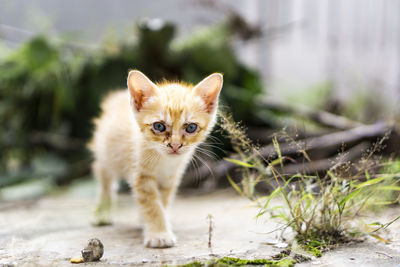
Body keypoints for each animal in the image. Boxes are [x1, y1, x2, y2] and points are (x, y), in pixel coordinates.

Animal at [88, 70, 223, 249]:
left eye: (191, 127)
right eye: (159, 126)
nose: (175, 145)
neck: (163, 160)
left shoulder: (170, 178)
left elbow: (161, 202)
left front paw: (152, 224)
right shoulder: (141, 176)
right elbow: (152, 205)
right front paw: (159, 235)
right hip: (105, 156)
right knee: (105, 181)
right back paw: (101, 213)